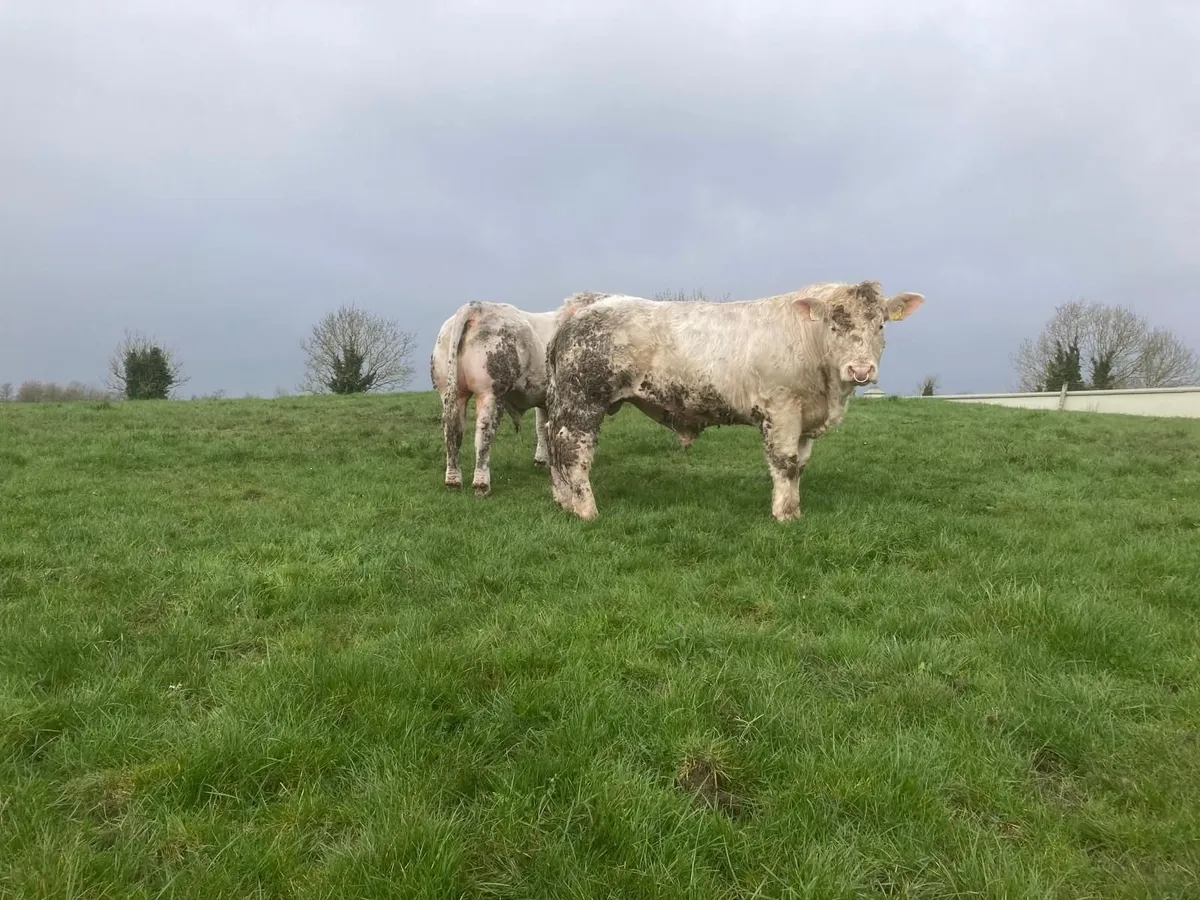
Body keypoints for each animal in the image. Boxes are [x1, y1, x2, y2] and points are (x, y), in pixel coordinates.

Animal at [430, 293, 609, 496]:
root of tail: (477, 307)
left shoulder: (545, 398)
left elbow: (542, 427)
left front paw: (542, 460)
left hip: (450, 391)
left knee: (452, 430)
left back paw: (453, 480)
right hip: (490, 392)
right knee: (483, 433)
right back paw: (482, 484)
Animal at [544, 280, 924, 521]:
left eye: (880, 324)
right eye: (835, 324)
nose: (861, 369)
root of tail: (590, 301)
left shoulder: (805, 418)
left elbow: (800, 465)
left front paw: (795, 509)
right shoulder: (782, 409)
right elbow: (785, 463)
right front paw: (785, 516)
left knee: (551, 442)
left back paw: (563, 502)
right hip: (583, 399)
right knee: (572, 450)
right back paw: (587, 511)